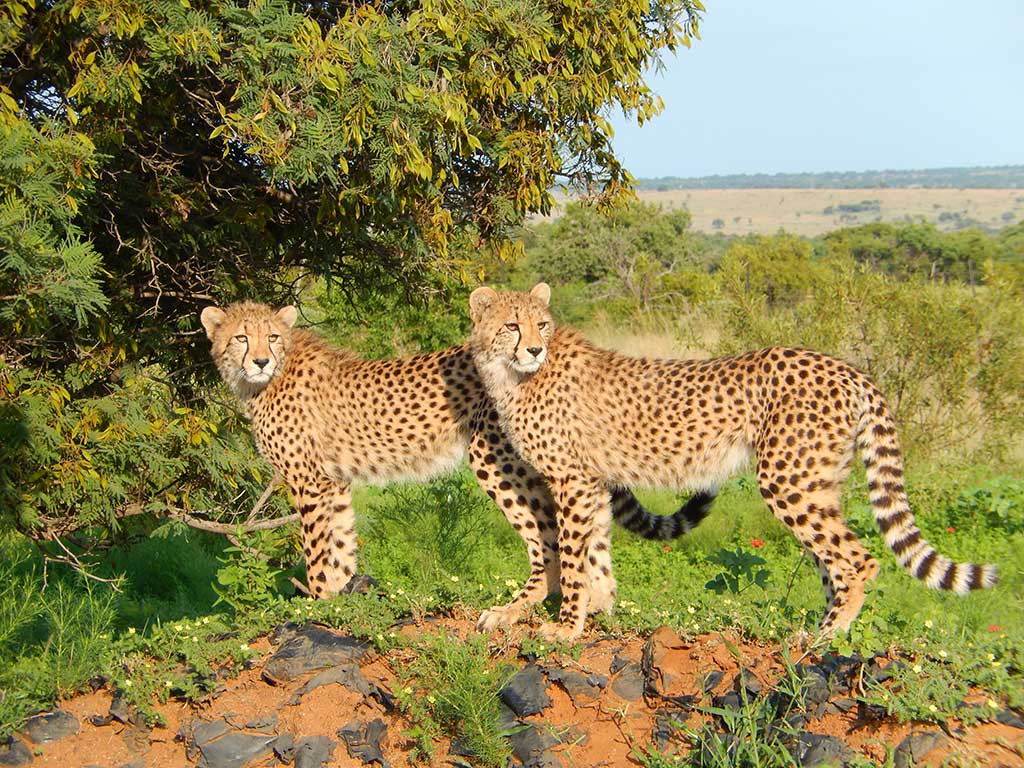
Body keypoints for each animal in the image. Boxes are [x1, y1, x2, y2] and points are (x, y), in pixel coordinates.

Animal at [200, 301, 715, 628]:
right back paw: (600, 605)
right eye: (242, 337)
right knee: (595, 528)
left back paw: (518, 611)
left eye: (271, 337)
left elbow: (317, 551)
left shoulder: (309, 482)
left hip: (497, 458)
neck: (264, 380)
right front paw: (343, 599)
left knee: (550, 540)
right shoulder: (335, 483)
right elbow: (341, 544)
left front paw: (319, 604)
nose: (260, 360)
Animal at [467, 283, 999, 642]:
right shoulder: (592, 482)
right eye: (512, 325)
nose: (535, 347)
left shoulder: (572, 481)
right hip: (817, 483)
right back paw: (817, 631)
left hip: (788, 479)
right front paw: (597, 609)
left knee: (857, 560)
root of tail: (846, 367)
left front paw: (567, 625)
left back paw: (826, 637)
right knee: (830, 561)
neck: (512, 375)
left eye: (541, 324)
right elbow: (595, 550)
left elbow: (574, 555)